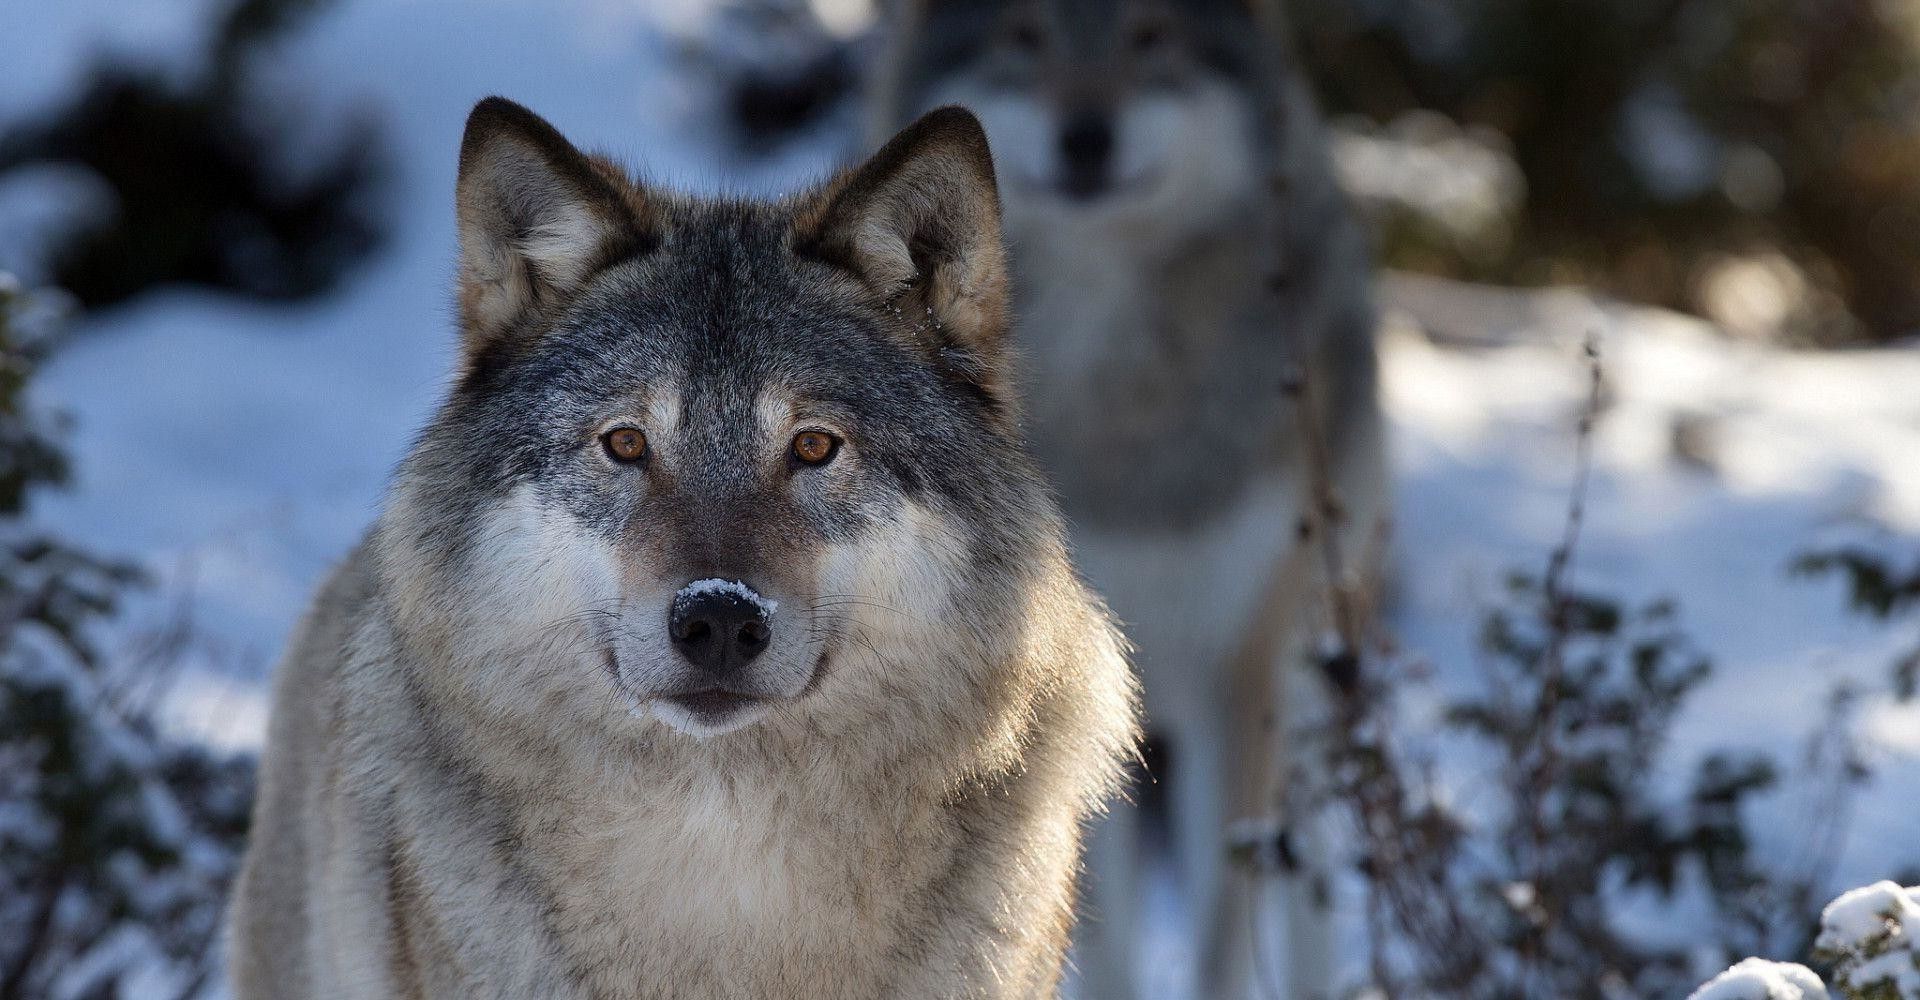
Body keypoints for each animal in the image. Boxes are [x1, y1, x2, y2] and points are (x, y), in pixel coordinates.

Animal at [875, 3, 1397, 990]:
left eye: (1151, 35)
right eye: (1024, 35)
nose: (1087, 137)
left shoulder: (1238, 673)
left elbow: (1221, 933)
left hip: (1308, 671)